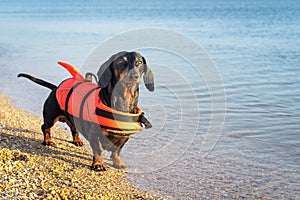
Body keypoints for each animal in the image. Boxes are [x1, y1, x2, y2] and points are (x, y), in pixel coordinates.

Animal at [17, 51, 155, 170]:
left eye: (139, 62)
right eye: (121, 61)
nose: (134, 76)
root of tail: (56, 88)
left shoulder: (124, 137)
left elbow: (116, 151)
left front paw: (118, 163)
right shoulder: (95, 134)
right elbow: (98, 150)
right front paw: (98, 164)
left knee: (74, 129)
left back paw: (77, 140)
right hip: (51, 117)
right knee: (45, 127)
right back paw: (48, 141)